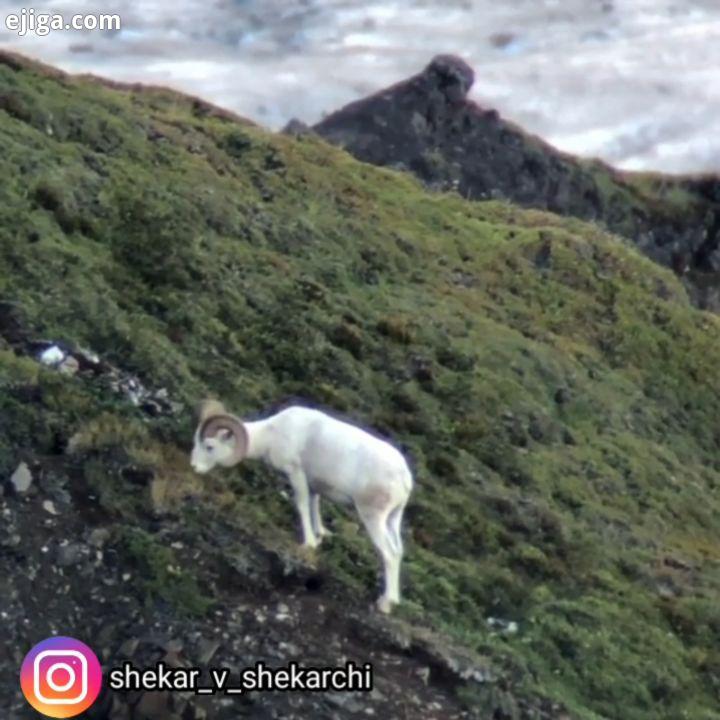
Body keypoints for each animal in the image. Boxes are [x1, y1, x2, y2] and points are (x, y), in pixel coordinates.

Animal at [190, 400, 416, 612]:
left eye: (209, 446)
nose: (194, 467)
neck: (271, 434)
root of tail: (404, 478)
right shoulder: (314, 485)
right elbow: (314, 506)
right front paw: (319, 537)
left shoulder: (296, 474)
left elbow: (302, 505)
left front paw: (308, 543)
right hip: (392, 519)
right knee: (398, 550)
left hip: (373, 517)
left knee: (389, 553)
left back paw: (385, 604)